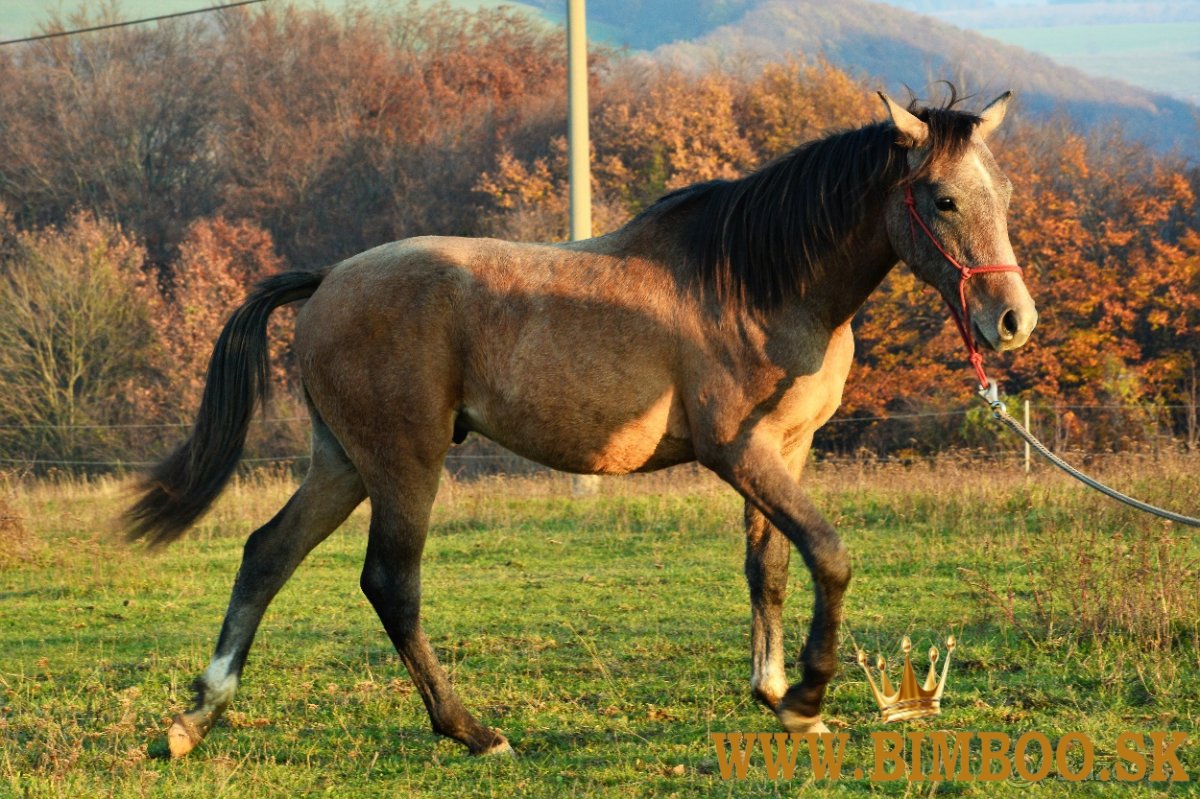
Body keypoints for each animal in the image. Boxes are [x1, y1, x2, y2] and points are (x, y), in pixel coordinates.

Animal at [126, 89, 1036, 758]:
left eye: (1005, 194)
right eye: (944, 199)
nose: (1012, 320)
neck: (755, 281)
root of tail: (329, 280)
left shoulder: (787, 449)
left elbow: (771, 566)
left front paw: (776, 694)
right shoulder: (739, 451)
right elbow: (830, 555)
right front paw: (808, 695)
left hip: (342, 462)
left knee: (267, 554)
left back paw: (195, 718)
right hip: (403, 463)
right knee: (391, 583)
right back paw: (473, 732)